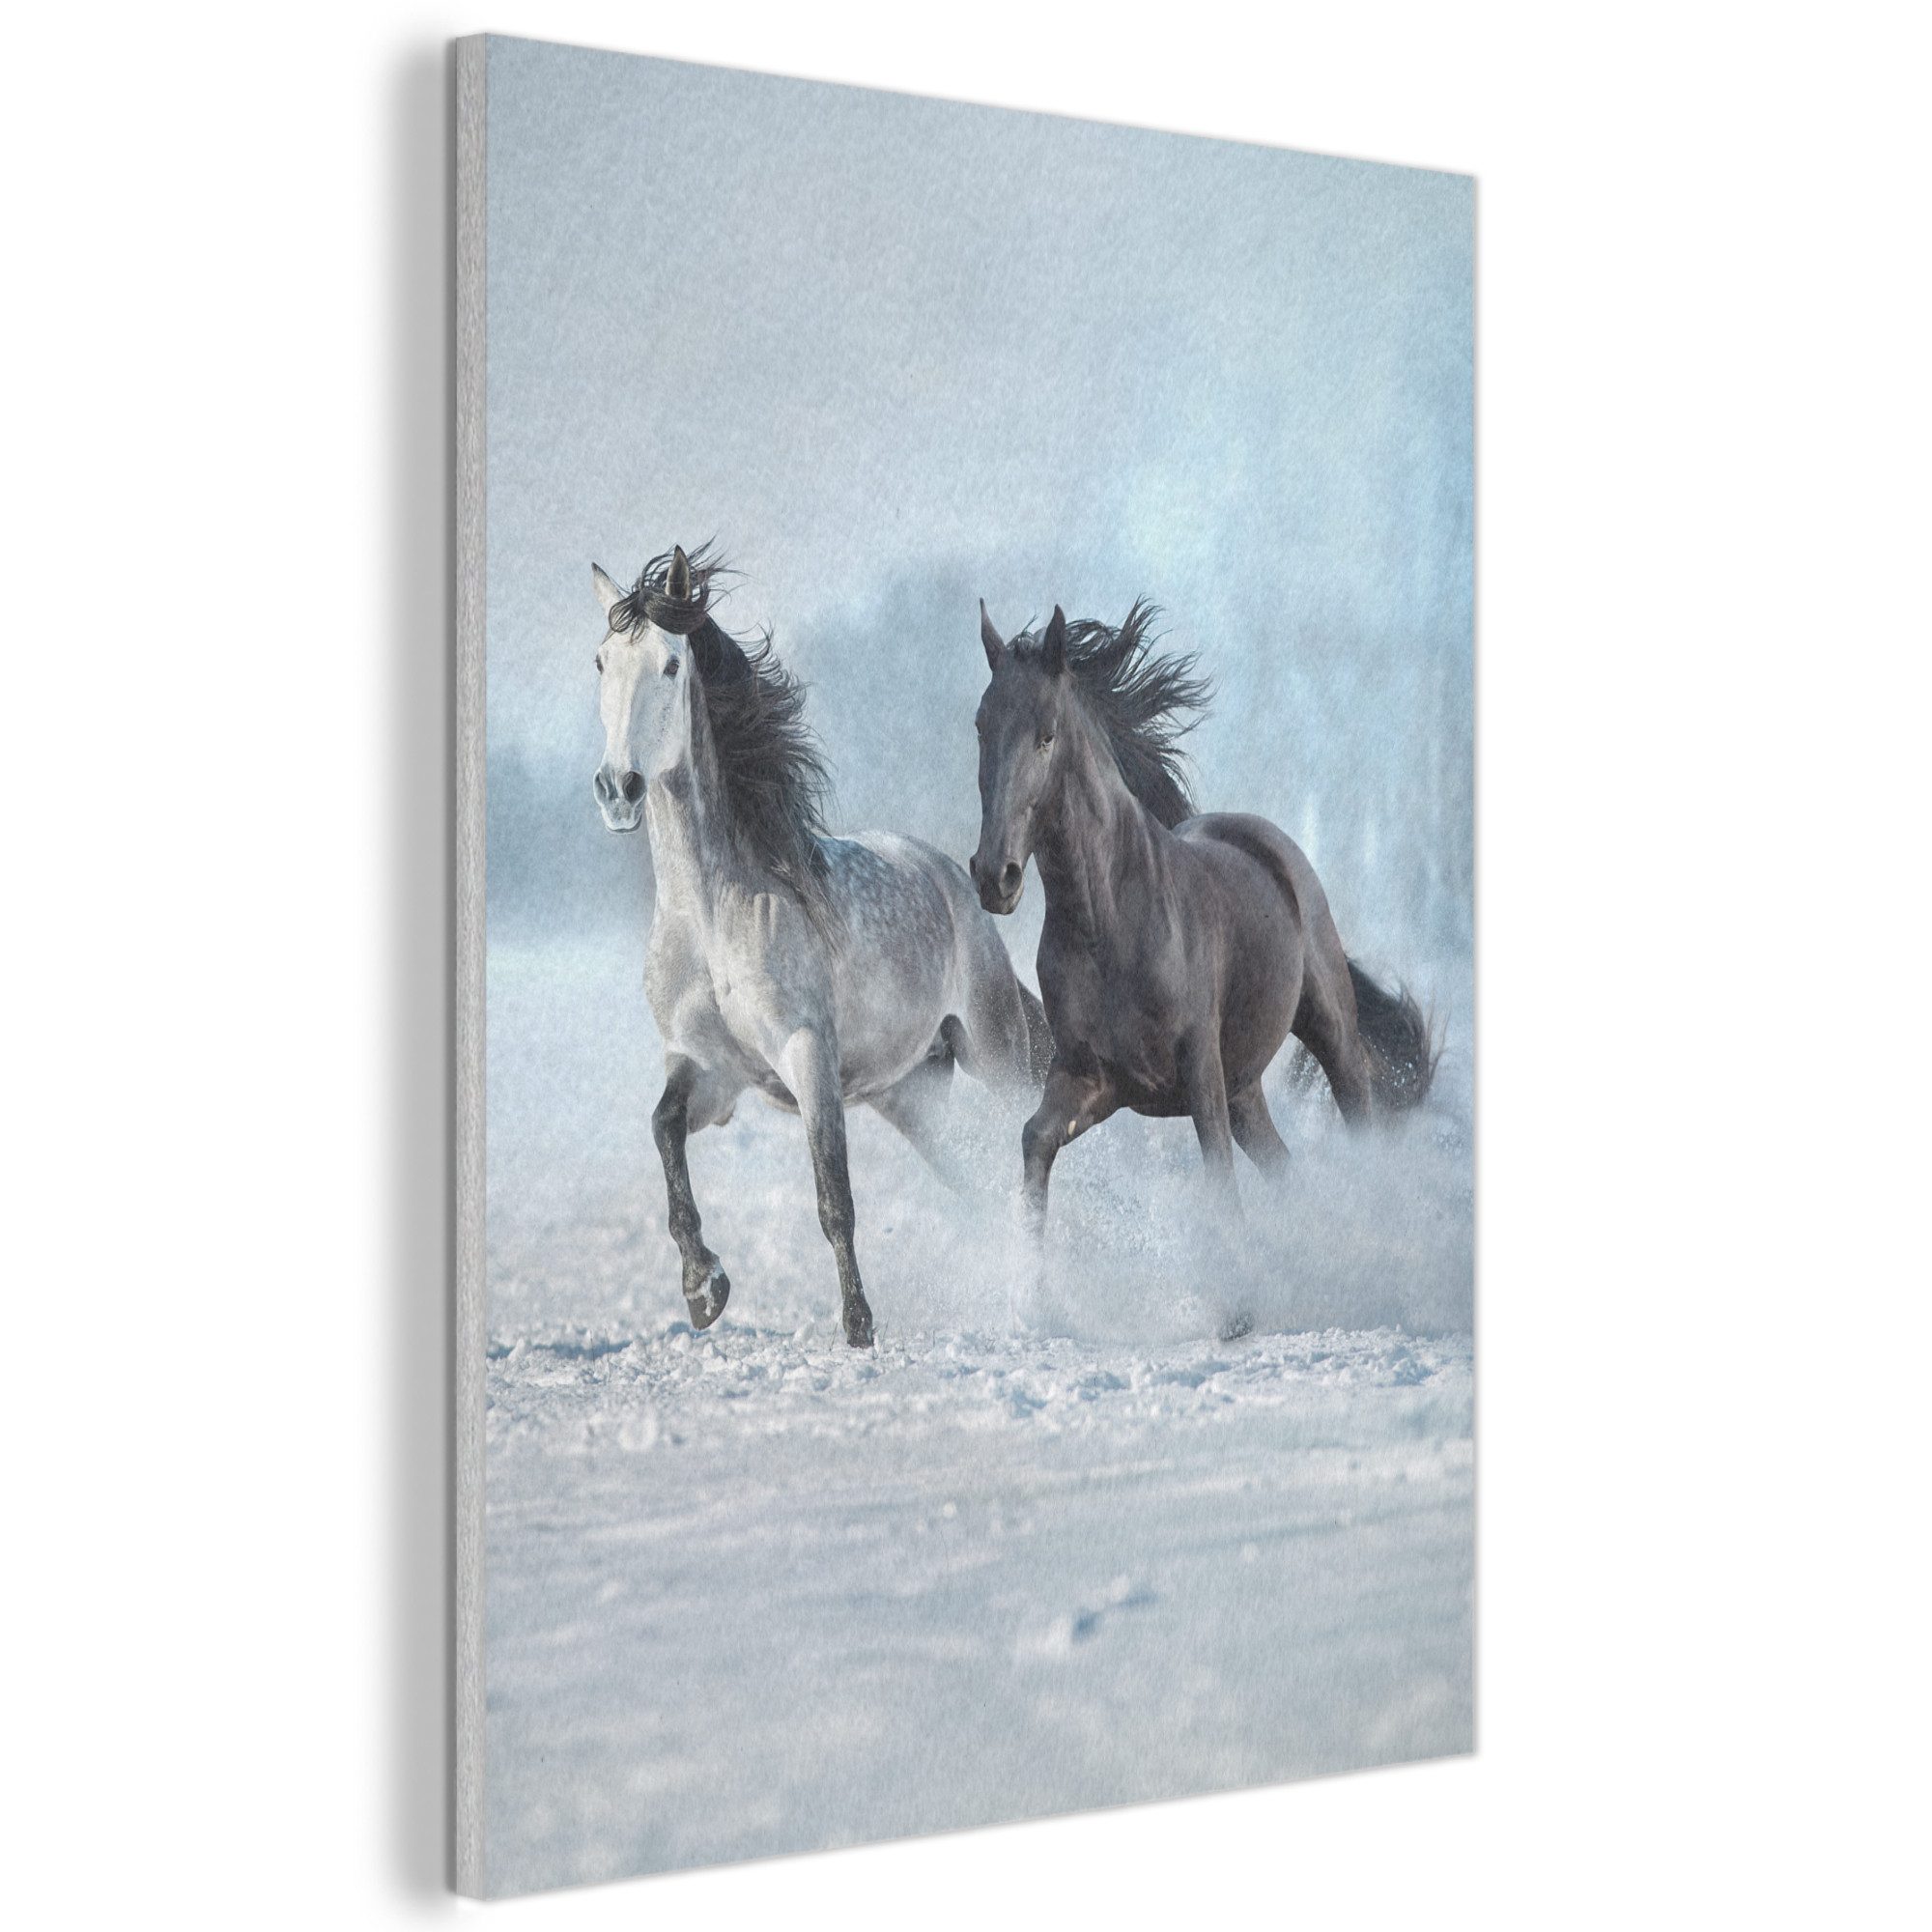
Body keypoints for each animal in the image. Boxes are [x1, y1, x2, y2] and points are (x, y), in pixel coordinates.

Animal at [588, 544, 1050, 1348]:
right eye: (600, 662)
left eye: (672, 664)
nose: (620, 788)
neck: (712, 914)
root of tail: (955, 880)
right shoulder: (708, 1068)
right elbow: (663, 1132)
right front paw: (704, 1288)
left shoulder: (808, 1056)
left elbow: (834, 1195)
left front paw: (859, 1327)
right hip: (911, 1096)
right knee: (979, 1179)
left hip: (994, 1054)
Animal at [968, 596, 1436, 1250]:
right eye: (981, 727)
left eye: (1047, 735)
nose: (995, 876)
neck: (1108, 925)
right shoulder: (1093, 1079)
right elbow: (1034, 1141)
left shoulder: (1199, 1079)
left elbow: (1223, 1196)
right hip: (1245, 1088)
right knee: (1285, 1168)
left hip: (1327, 1034)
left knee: (1358, 1116)